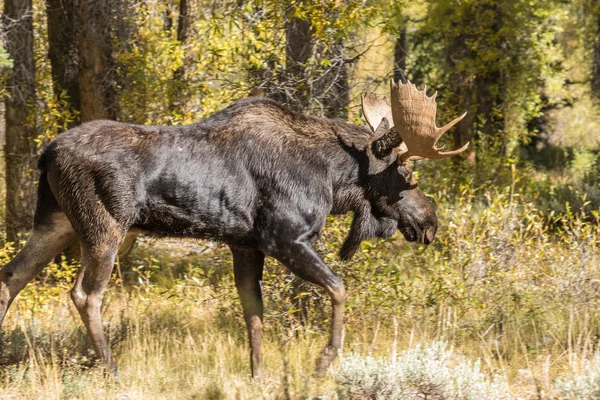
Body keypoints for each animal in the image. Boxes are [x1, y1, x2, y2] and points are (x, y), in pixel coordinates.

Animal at [0, 79, 468, 376]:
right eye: (409, 177)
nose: (431, 223)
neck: (334, 180)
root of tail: (46, 153)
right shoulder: (285, 237)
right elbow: (338, 289)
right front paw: (323, 361)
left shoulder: (245, 245)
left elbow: (254, 314)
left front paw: (257, 375)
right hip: (105, 228)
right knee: (85, 295)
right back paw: (113, 371)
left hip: (56, 223)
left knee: (10, 277)